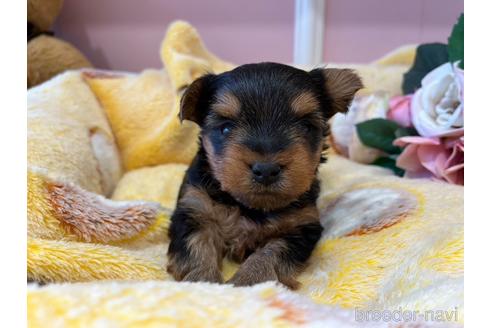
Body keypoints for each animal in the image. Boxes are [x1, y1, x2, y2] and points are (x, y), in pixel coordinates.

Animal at [167, 62, 364, 288]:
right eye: (225, 128)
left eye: (306, 126)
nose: (266, 170)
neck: (250, 207)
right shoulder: (194, 208)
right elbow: (197, 245)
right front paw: (202, 282)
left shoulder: (302, 226)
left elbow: (272, 251)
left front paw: (247, 281)